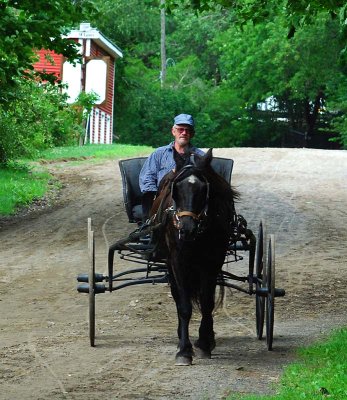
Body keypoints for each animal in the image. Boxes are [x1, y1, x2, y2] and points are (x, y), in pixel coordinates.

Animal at [151, 148, 241, 366]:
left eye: (203, 189)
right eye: (176, 188)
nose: (187, 228)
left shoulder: (212, 262)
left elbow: (207, 302)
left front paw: (204, 343)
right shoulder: (177, 261)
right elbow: (184, 306)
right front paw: (184, 351)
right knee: (177, 296)